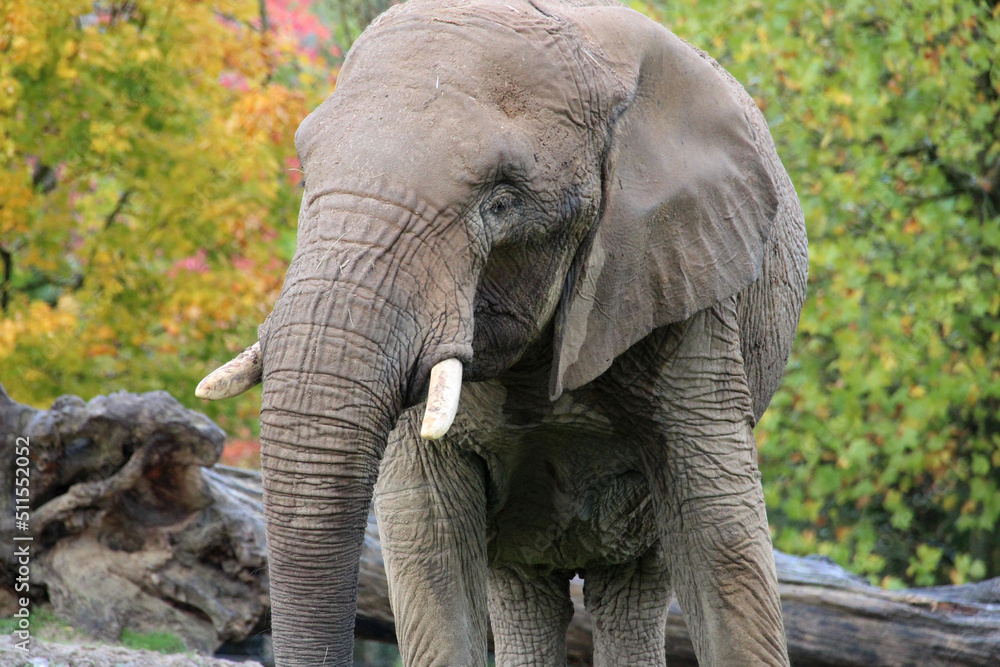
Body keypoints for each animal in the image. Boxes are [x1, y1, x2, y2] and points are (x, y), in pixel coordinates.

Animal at [197, 0, 808, 665]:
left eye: (502, 201)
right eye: (305, 175)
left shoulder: (689, 291)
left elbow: (721, 536)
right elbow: (429, 544)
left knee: (633, 589)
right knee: (522, 591)